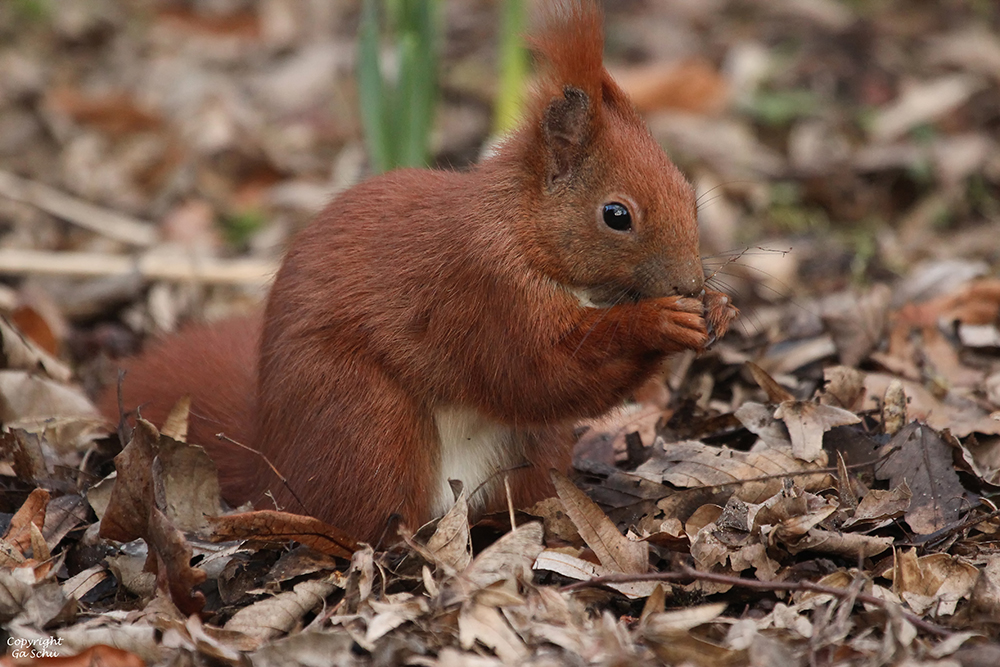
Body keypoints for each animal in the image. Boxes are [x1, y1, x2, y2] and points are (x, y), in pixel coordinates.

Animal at [101, 5, 736, 544]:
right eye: (617, 215)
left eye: (689, 193)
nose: (689, 284)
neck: (523, 231)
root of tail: (276, 467)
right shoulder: (481, 289)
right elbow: (539, 371)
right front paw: (660, 322)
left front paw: (721, 311)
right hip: (366, 423)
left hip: (531, 451)